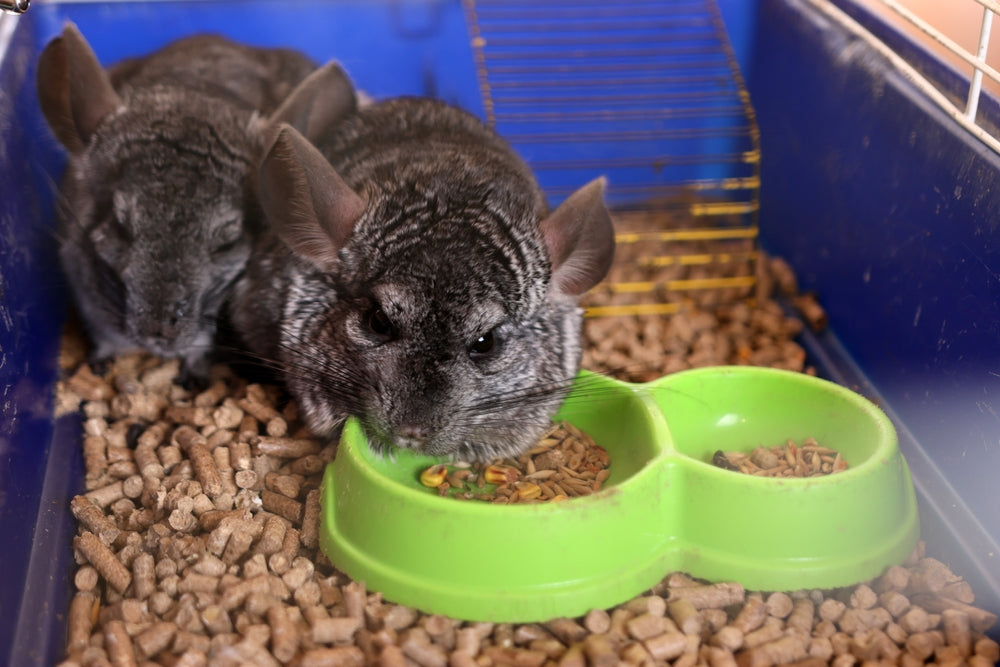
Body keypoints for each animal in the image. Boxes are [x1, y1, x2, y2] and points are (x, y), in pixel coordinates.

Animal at [36, 23, 357, 384]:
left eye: (227, 243)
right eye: (120, 226)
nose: (158, 332)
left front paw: (193, 374)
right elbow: (106, 336)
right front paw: (102, 360)